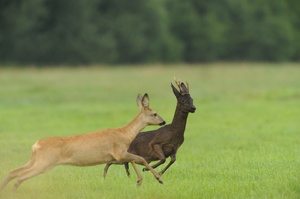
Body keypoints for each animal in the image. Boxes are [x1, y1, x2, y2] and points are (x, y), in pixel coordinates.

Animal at [0, 93, 165, 191]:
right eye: (154, 113)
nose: (163, 121)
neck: (125, 134)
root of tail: (36, 144)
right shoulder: (118, 152)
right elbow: (141, 159)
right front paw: (158, 179)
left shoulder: (121, 154)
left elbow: (135, 160)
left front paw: (140, 181)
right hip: (45, 162)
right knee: (21, 176)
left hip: (35, 159)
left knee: (12, 172)